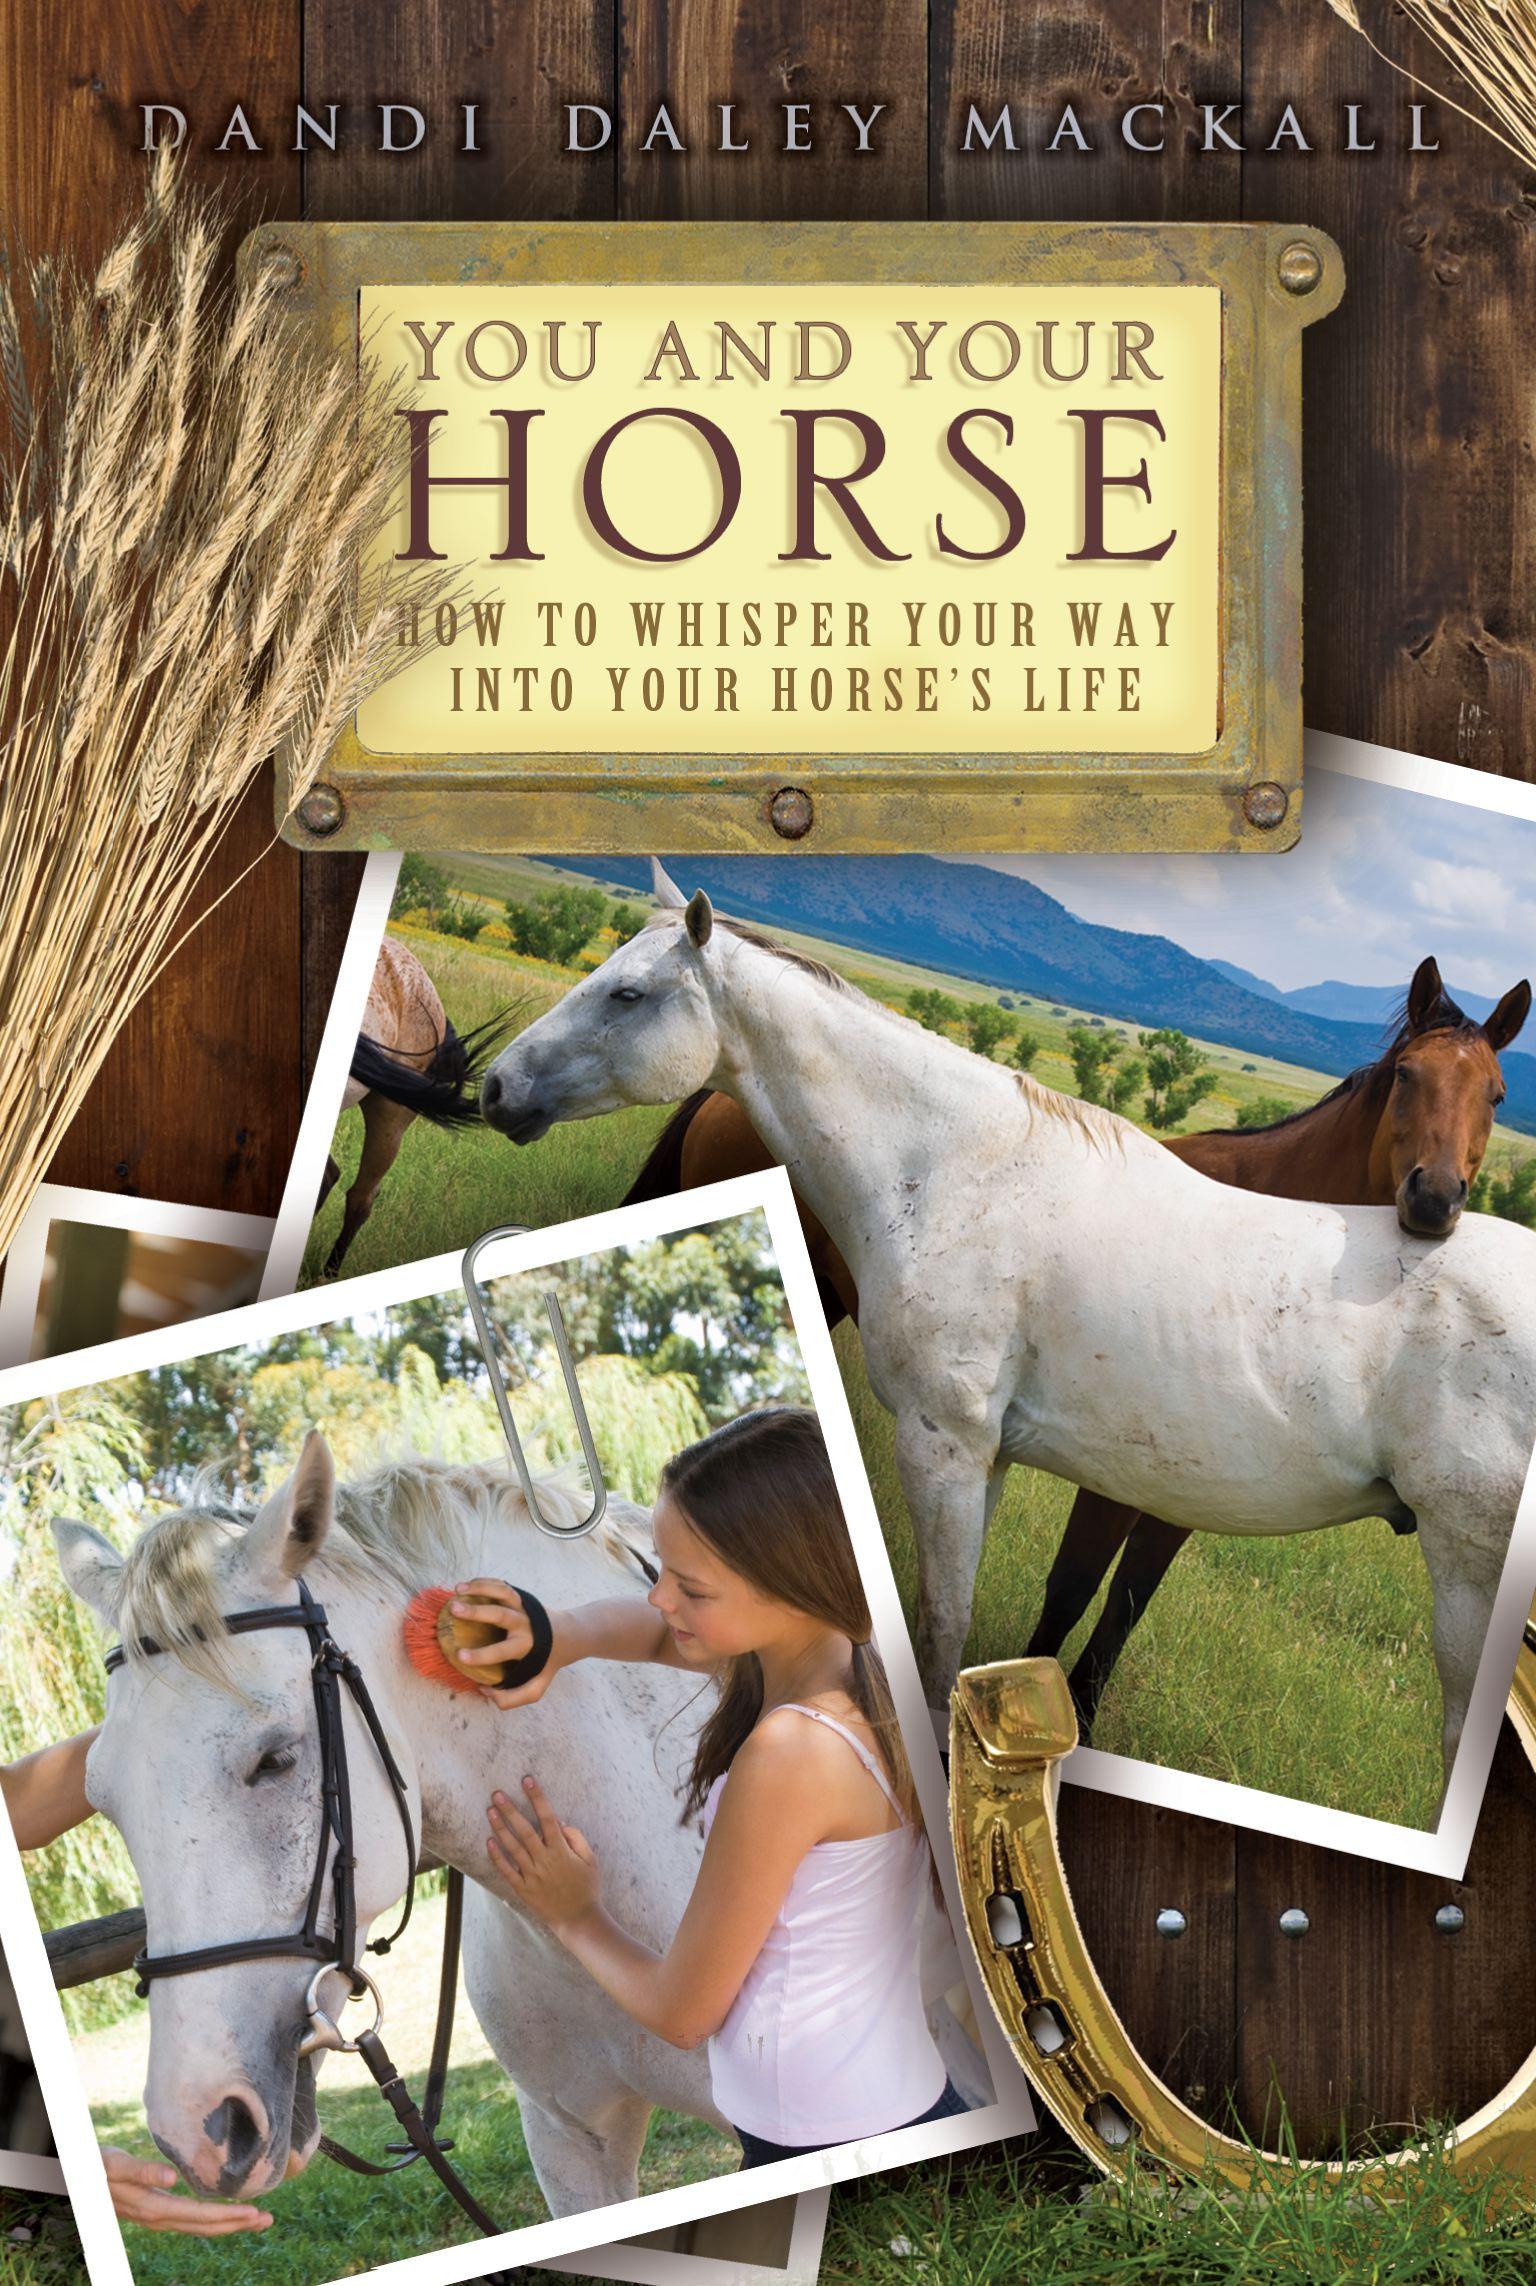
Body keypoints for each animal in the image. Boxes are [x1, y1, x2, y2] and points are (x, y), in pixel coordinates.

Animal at [481, 865, 1536, 1791]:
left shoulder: (944, 1445)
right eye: (1409, 1081)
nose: (495, 1090)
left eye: (626, 993)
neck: (956, 1170)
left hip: (1468, 1585)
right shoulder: (986, 1457)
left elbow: (944, 1627)